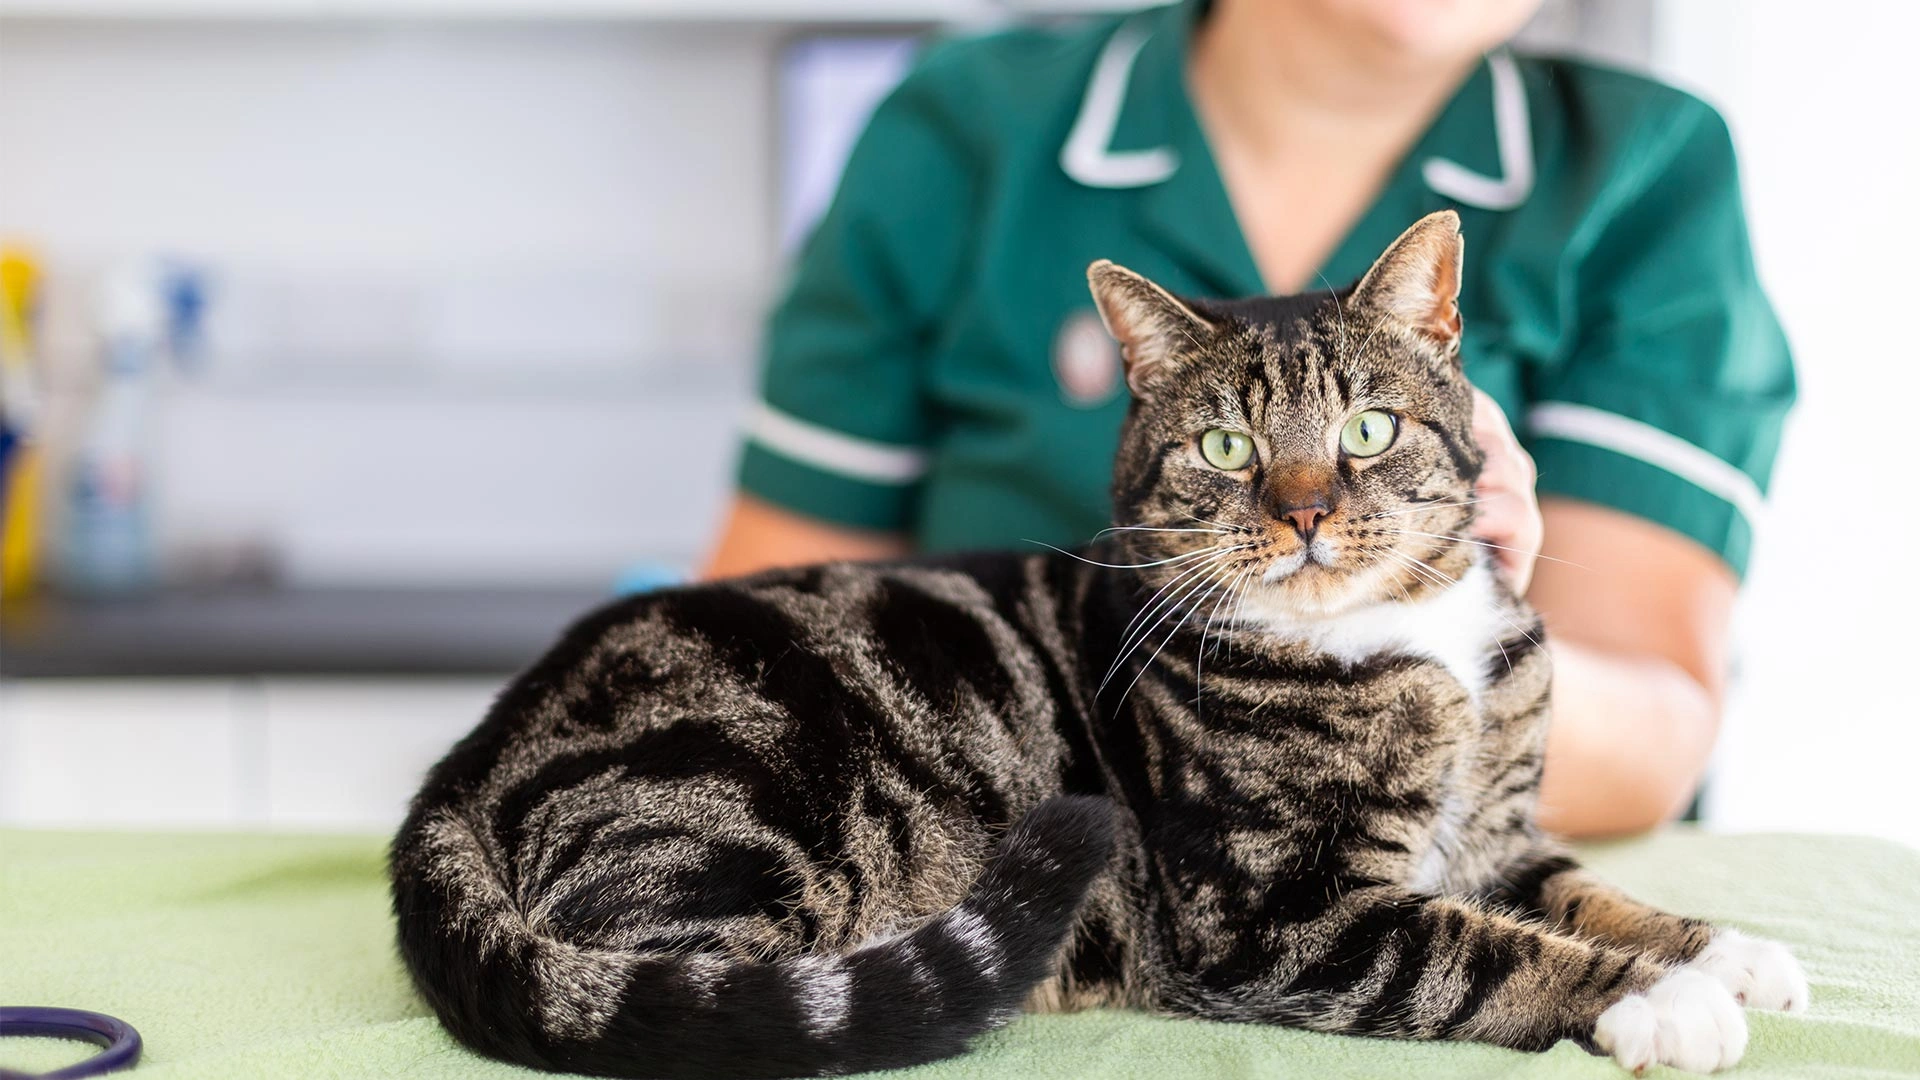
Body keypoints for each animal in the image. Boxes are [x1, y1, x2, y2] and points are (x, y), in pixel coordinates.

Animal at [393, 212, 1812, 1076]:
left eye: (1368, 429)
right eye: (1227, 447)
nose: (1305, 510)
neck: (1408, 645)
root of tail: (464, 763)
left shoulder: (1498, 833)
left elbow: (1585, 890)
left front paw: (1728, 951)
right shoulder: (1277, 919)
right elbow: (1489, 951)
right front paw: (1659, 1001)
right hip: (731, 806)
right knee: (712, 1007)